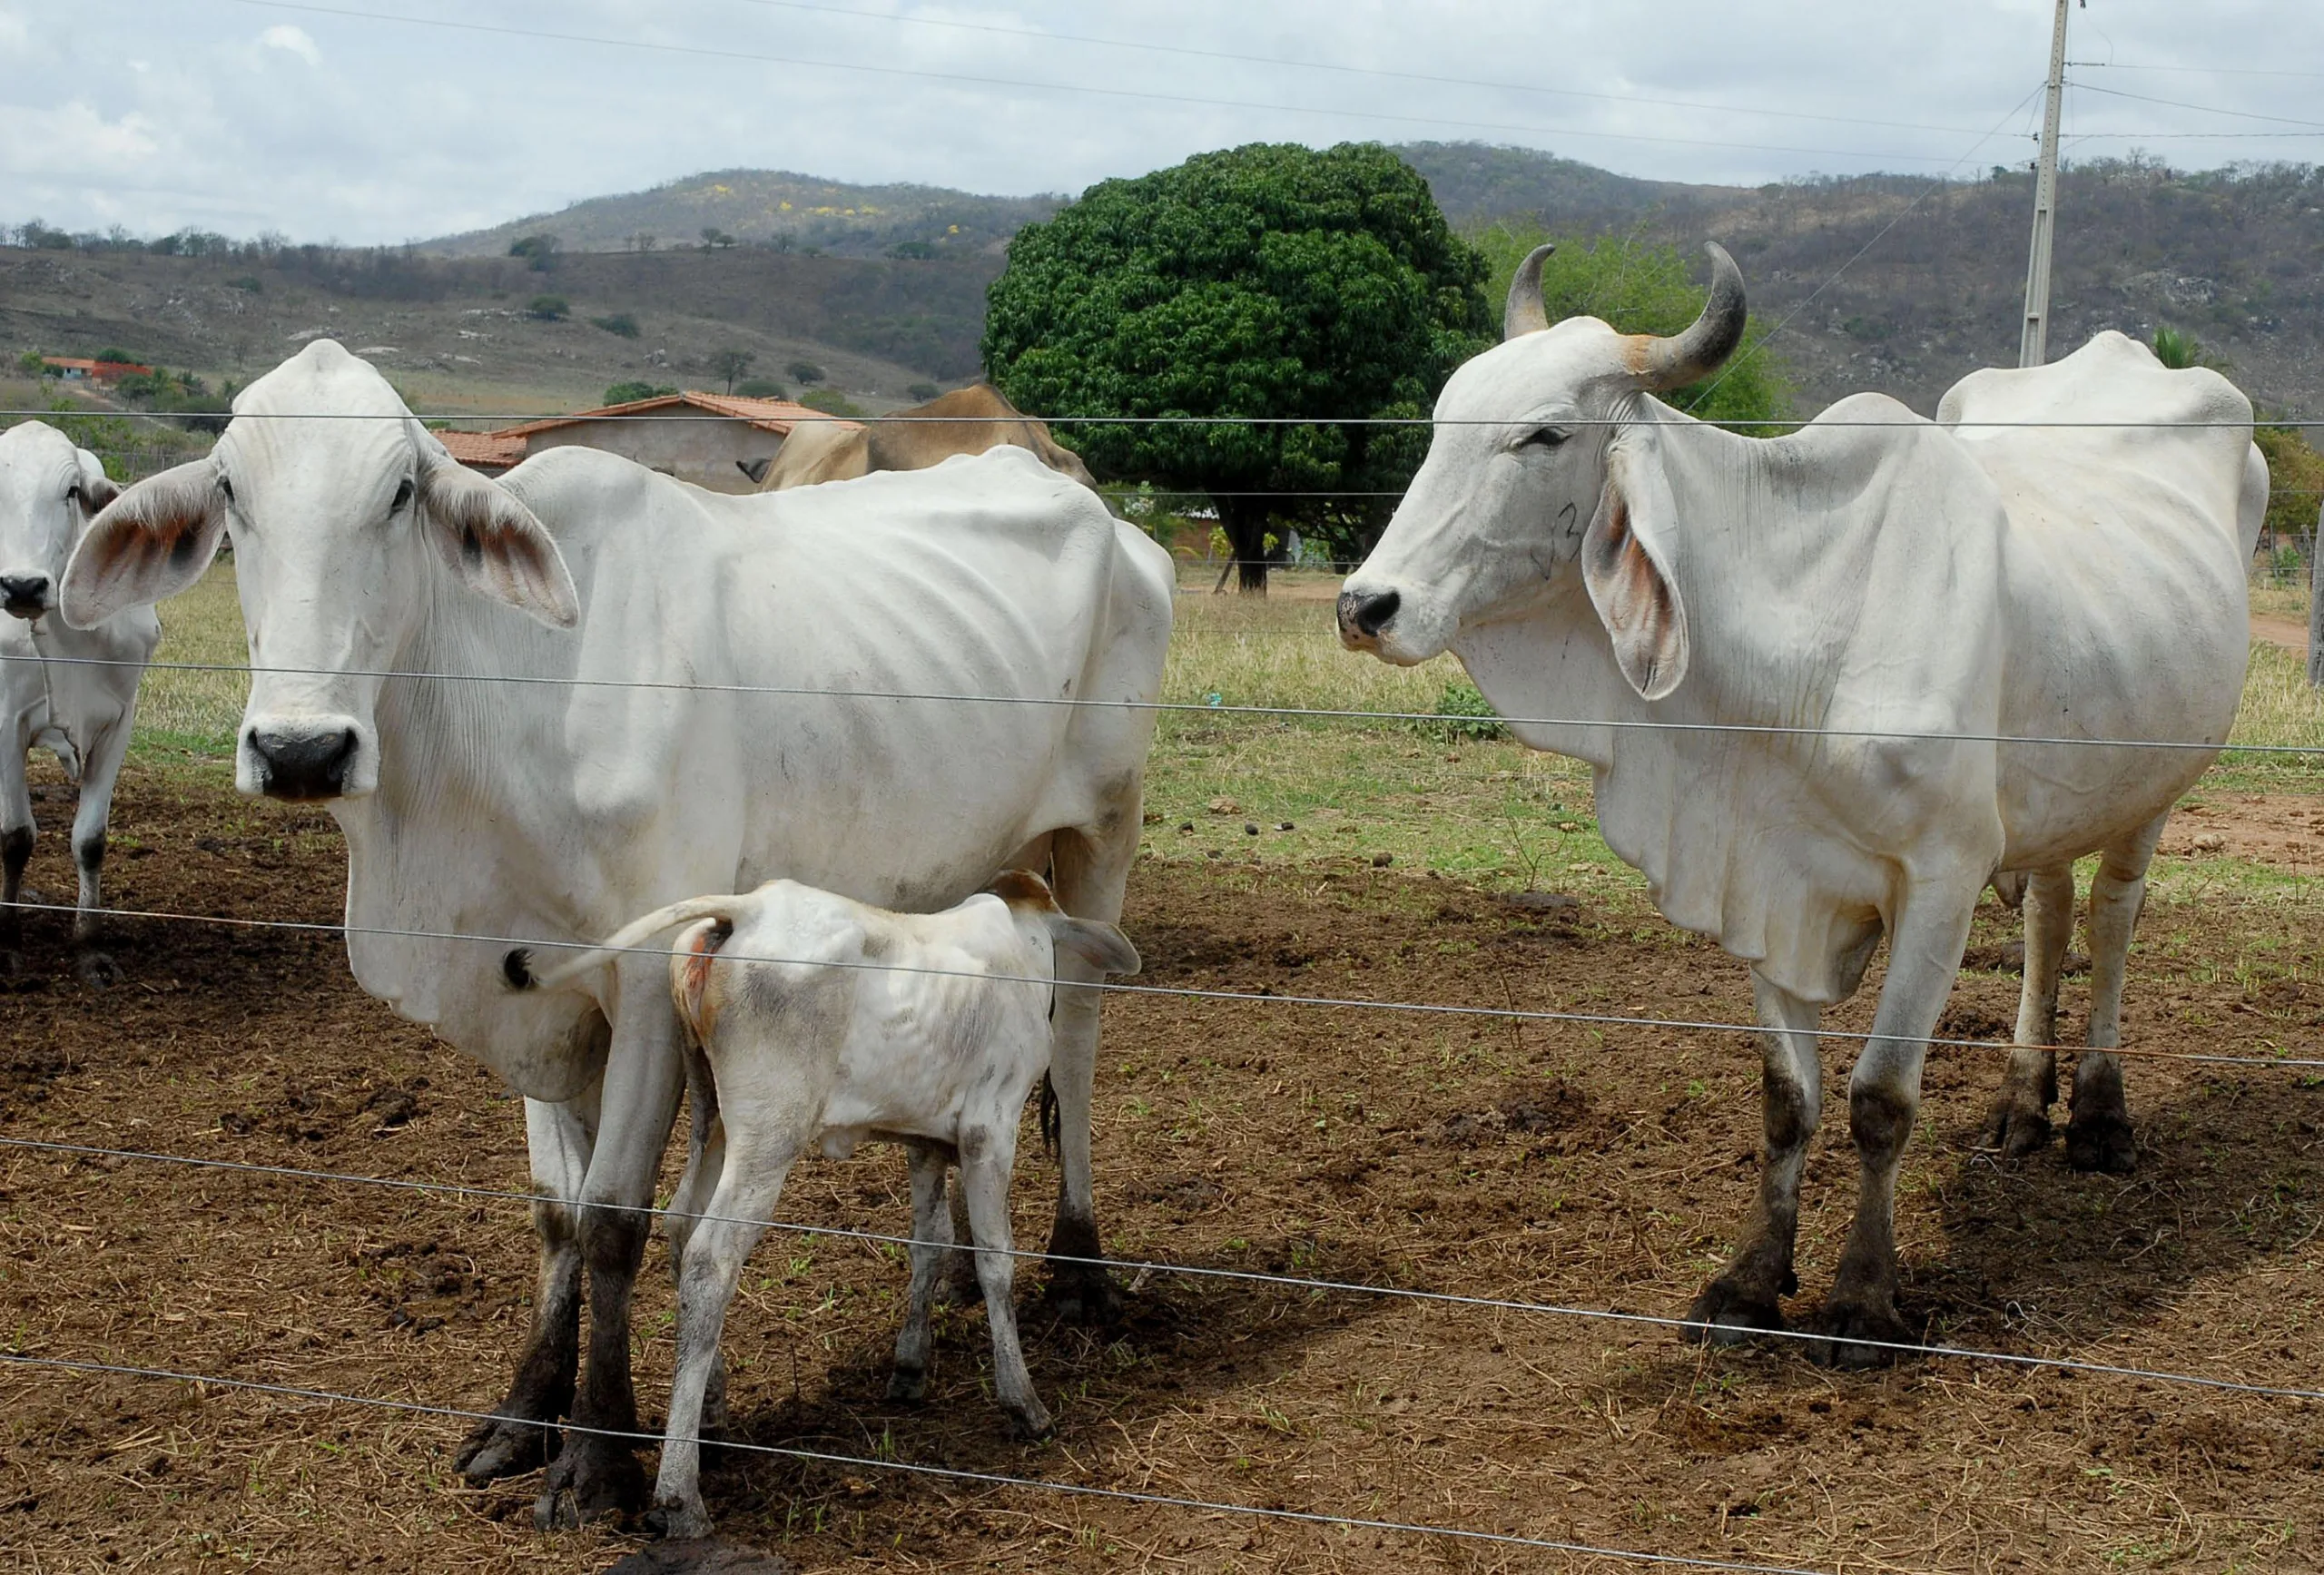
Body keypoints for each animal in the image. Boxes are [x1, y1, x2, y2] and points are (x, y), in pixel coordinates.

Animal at [0, 425, 160, 979]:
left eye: (71, 490)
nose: (22, 586)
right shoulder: (7, 722)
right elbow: (16, 836)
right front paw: (10, 943)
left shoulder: (119, 723)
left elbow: (90, 839)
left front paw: (89, 945)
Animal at [523, 869, 1147, 1532]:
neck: (1020, 946)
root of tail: (748, 908)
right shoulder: (990, 1130)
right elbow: (995, 1261)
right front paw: (1023, 1402)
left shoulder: (924, 1141)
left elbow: (930, 1243)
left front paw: (910, 1368)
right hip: (769, 1131)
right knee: (710, 1257)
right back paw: (678, 1495)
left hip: (710, 1112)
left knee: (679, 1225)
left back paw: (709, 1421)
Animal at [1338, 246, 2259, 1365]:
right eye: (1440, 417)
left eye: (1545, 433)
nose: (1365, 605)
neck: (1805, 631)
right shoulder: (1764, 876)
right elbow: (1787, 1099)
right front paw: (1747, 1281)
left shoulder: (1943, 878)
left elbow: (1880, 1099)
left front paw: (1861, 1299)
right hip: (2055, 794)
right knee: (2048, 912)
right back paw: (2018, 1108)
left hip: (2153, 788)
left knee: (2114, 921)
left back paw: (2097, 1118)